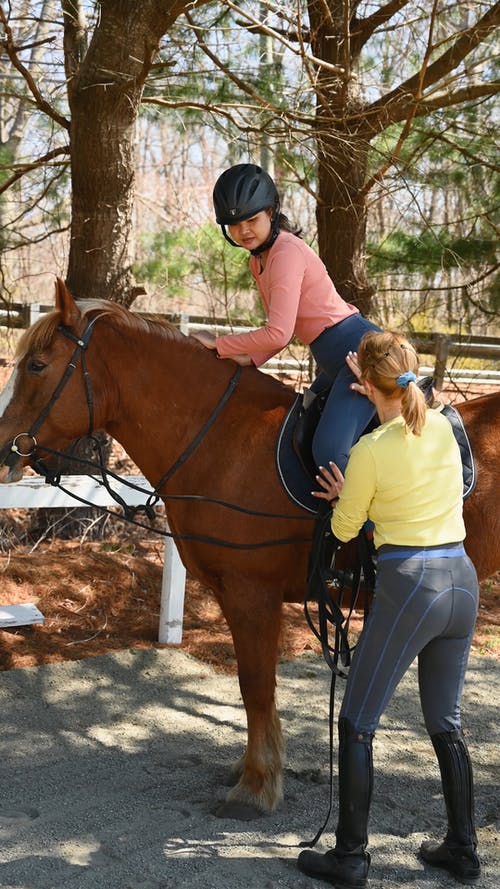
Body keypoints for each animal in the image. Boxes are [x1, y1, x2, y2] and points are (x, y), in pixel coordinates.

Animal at [0, 280, 498, 820]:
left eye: (37, 365)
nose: (3, 446)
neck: (224, 439)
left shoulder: (251, 594)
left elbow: (256, 684)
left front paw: (257, 786)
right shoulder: (232, 593)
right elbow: (251, 686)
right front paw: (252, 770)